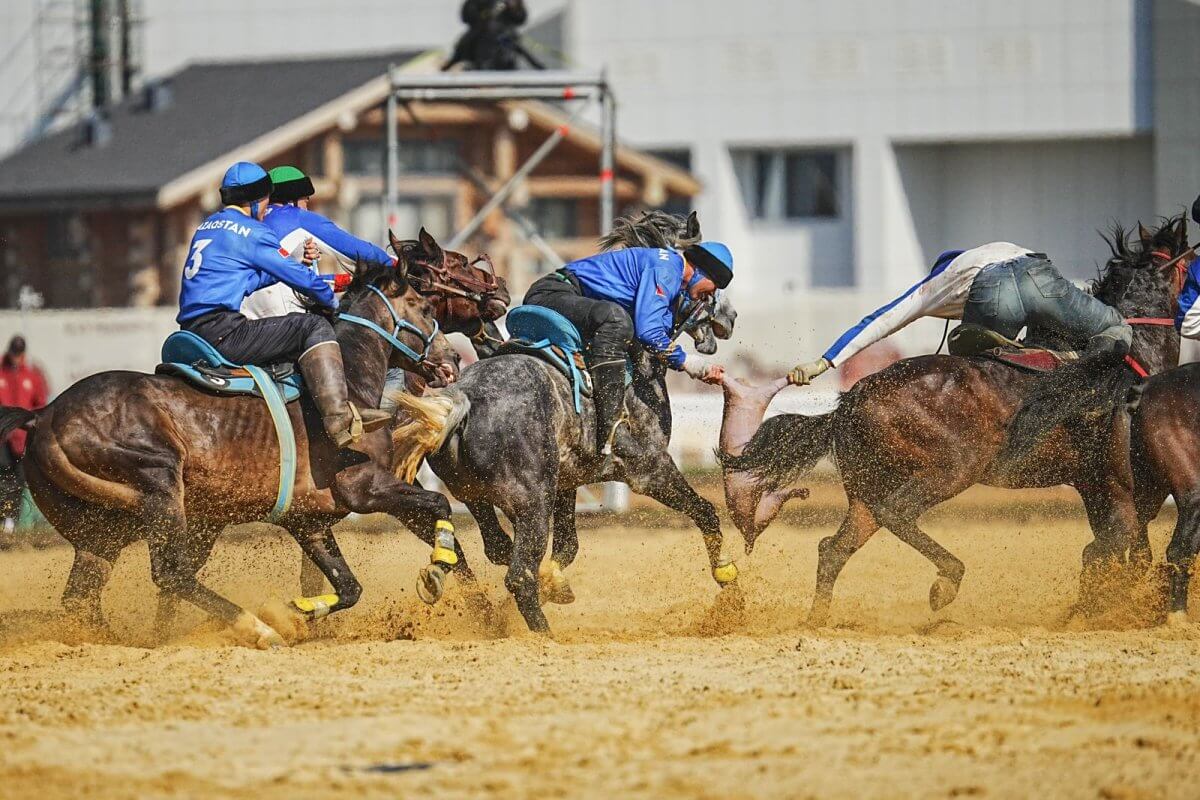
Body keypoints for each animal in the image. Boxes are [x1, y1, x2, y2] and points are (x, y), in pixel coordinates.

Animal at [0, 260, 460, 647]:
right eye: (423, 306)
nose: (453, 356)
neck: (350, 385)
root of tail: (43, 416)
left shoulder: (308, 521)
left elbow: (349, 588)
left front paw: (296, 611)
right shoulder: (363, 488)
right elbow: (438, 502)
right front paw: (437, 567)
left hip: (100, 533)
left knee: (83, 598)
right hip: (160, 486)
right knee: (171, 574)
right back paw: (255, 628)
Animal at [715, 217, 1185, 623]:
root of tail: (849, 402)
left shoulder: (1094, 484)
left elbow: (1114, 549)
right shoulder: (1119, 483)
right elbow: (1119, 546)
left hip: (868, 490)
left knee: (834, 548)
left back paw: (818, 620)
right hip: (951, 470)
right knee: (896, 514)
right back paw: (946, 582)